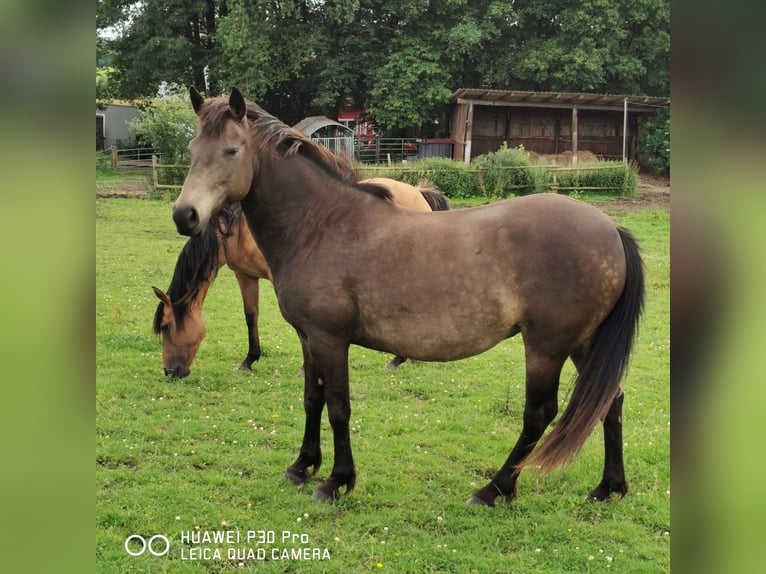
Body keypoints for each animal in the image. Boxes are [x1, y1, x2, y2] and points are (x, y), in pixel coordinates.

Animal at [152, 180, 450, 378]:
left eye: (165, 327)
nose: (170, 371)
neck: (237, 228)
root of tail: (419, 192)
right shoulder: (245, 274)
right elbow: (251, 315)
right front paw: (249, 360)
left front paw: (305, 369)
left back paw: (398, 358)